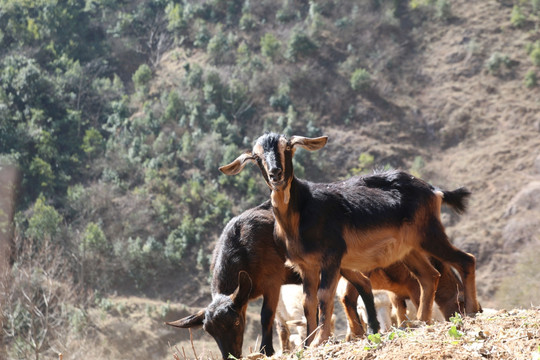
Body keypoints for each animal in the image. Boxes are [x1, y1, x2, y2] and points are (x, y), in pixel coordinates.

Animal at [167, 201, 378, 358]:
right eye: (210, 332)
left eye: (235, 323)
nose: (231, 356)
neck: (242, 247)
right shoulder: (244, 295)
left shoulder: (272, 282)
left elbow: (266, 315)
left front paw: (266, 349)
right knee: (362, 283)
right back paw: (369, 330)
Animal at [219, 134, 480, 348]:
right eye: (257, 157)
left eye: (288, 148)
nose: (276, 173)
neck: (302, 211)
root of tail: (434, 191)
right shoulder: (306, 267)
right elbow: (308, 301)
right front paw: (309, 342)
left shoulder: (332, 258)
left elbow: (324, 296)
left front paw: (320, 340)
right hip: (410, 249)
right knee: (429, 275)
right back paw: (422, 322)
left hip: (430, 234)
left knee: (466, 260)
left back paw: (470, 313)